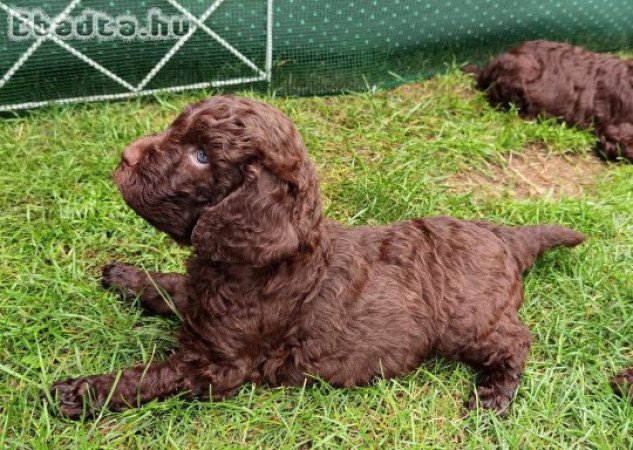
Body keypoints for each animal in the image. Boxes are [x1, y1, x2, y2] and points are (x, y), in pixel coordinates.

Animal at [48, 94, 584, 418]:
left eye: (201, 156)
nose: (125, 156)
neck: (245, 266)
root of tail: (506, 239)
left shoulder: (220, 364)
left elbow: (151, 375)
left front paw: (83, 391)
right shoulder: (203, 299)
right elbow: (171, 286)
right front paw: (127, 276)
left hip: (468, 322)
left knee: (516, 341)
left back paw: (492, 396)